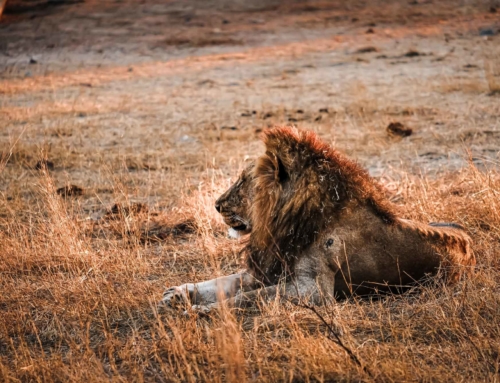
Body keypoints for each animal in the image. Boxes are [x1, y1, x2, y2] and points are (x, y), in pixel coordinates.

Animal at [161, 127, 476, 314]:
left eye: (243, 181)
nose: (216, 205)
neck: (284, 224)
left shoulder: (313, 291)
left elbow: (250, 297)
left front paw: (201, 311)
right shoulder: (267, 271)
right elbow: (221, 282)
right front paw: (178, 293)